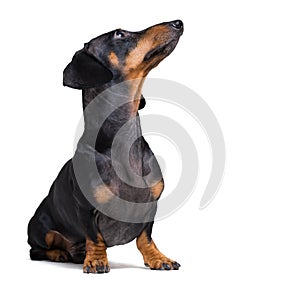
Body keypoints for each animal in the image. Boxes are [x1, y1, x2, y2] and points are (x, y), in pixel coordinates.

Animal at [27, 19, 183, 272]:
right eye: (119, 34)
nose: (178, 23)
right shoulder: (86, 209)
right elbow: (94, 236)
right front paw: (96, 259)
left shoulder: (151, 205)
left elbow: (145, 237)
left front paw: (158, 258)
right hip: (41, 229)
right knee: (37, 250)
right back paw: (60, 253)